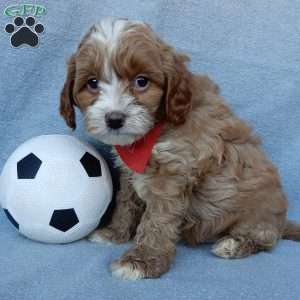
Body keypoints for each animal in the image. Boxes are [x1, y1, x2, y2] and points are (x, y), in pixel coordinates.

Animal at [59, 17, 300, 278]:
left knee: (266, 239)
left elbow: (156, 221)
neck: (155, 128)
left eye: (141, 81)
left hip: (258, 216)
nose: (114, 119)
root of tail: (281, 222)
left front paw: (141, 261)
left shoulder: (172, 174)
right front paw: (114, 233)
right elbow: (125, 203)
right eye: (92, 83)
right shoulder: (129, 173)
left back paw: (233, 244)